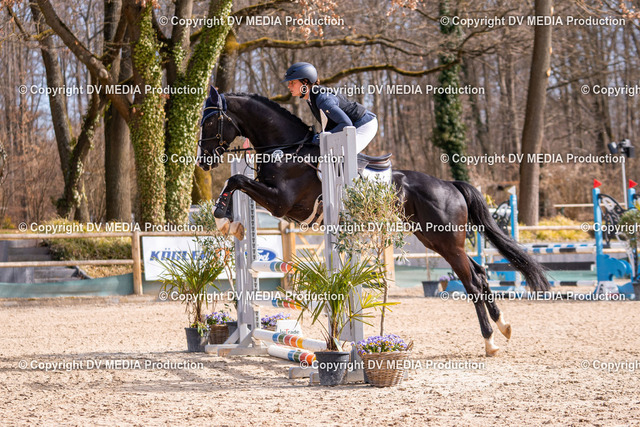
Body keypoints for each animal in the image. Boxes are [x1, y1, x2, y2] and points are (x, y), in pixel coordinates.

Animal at [197, 86, 550, 356]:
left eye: (211, 120)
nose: (203, 161)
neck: (287, 148)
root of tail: (450, 185)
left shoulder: (281, 202)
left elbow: (237, 180)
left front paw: (222, 219)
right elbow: (237, 182)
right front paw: (232, 223)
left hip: (447, 240)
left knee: (473, 282)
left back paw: (490, 342)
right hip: (434, 239)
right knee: (480, 273)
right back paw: (504, 327)